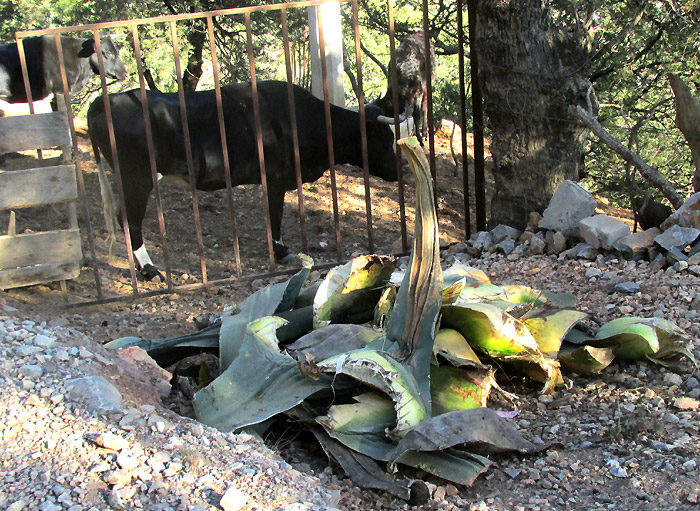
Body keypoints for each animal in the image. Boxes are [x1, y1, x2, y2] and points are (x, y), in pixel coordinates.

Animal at [87, 80, 400, 280]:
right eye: (385, 139)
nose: (399, 172)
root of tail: (108, 99)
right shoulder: (275, 177)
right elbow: (275, 215)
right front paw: (281, 252)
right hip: (136, 177)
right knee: (129, 221)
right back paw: (150, 270)